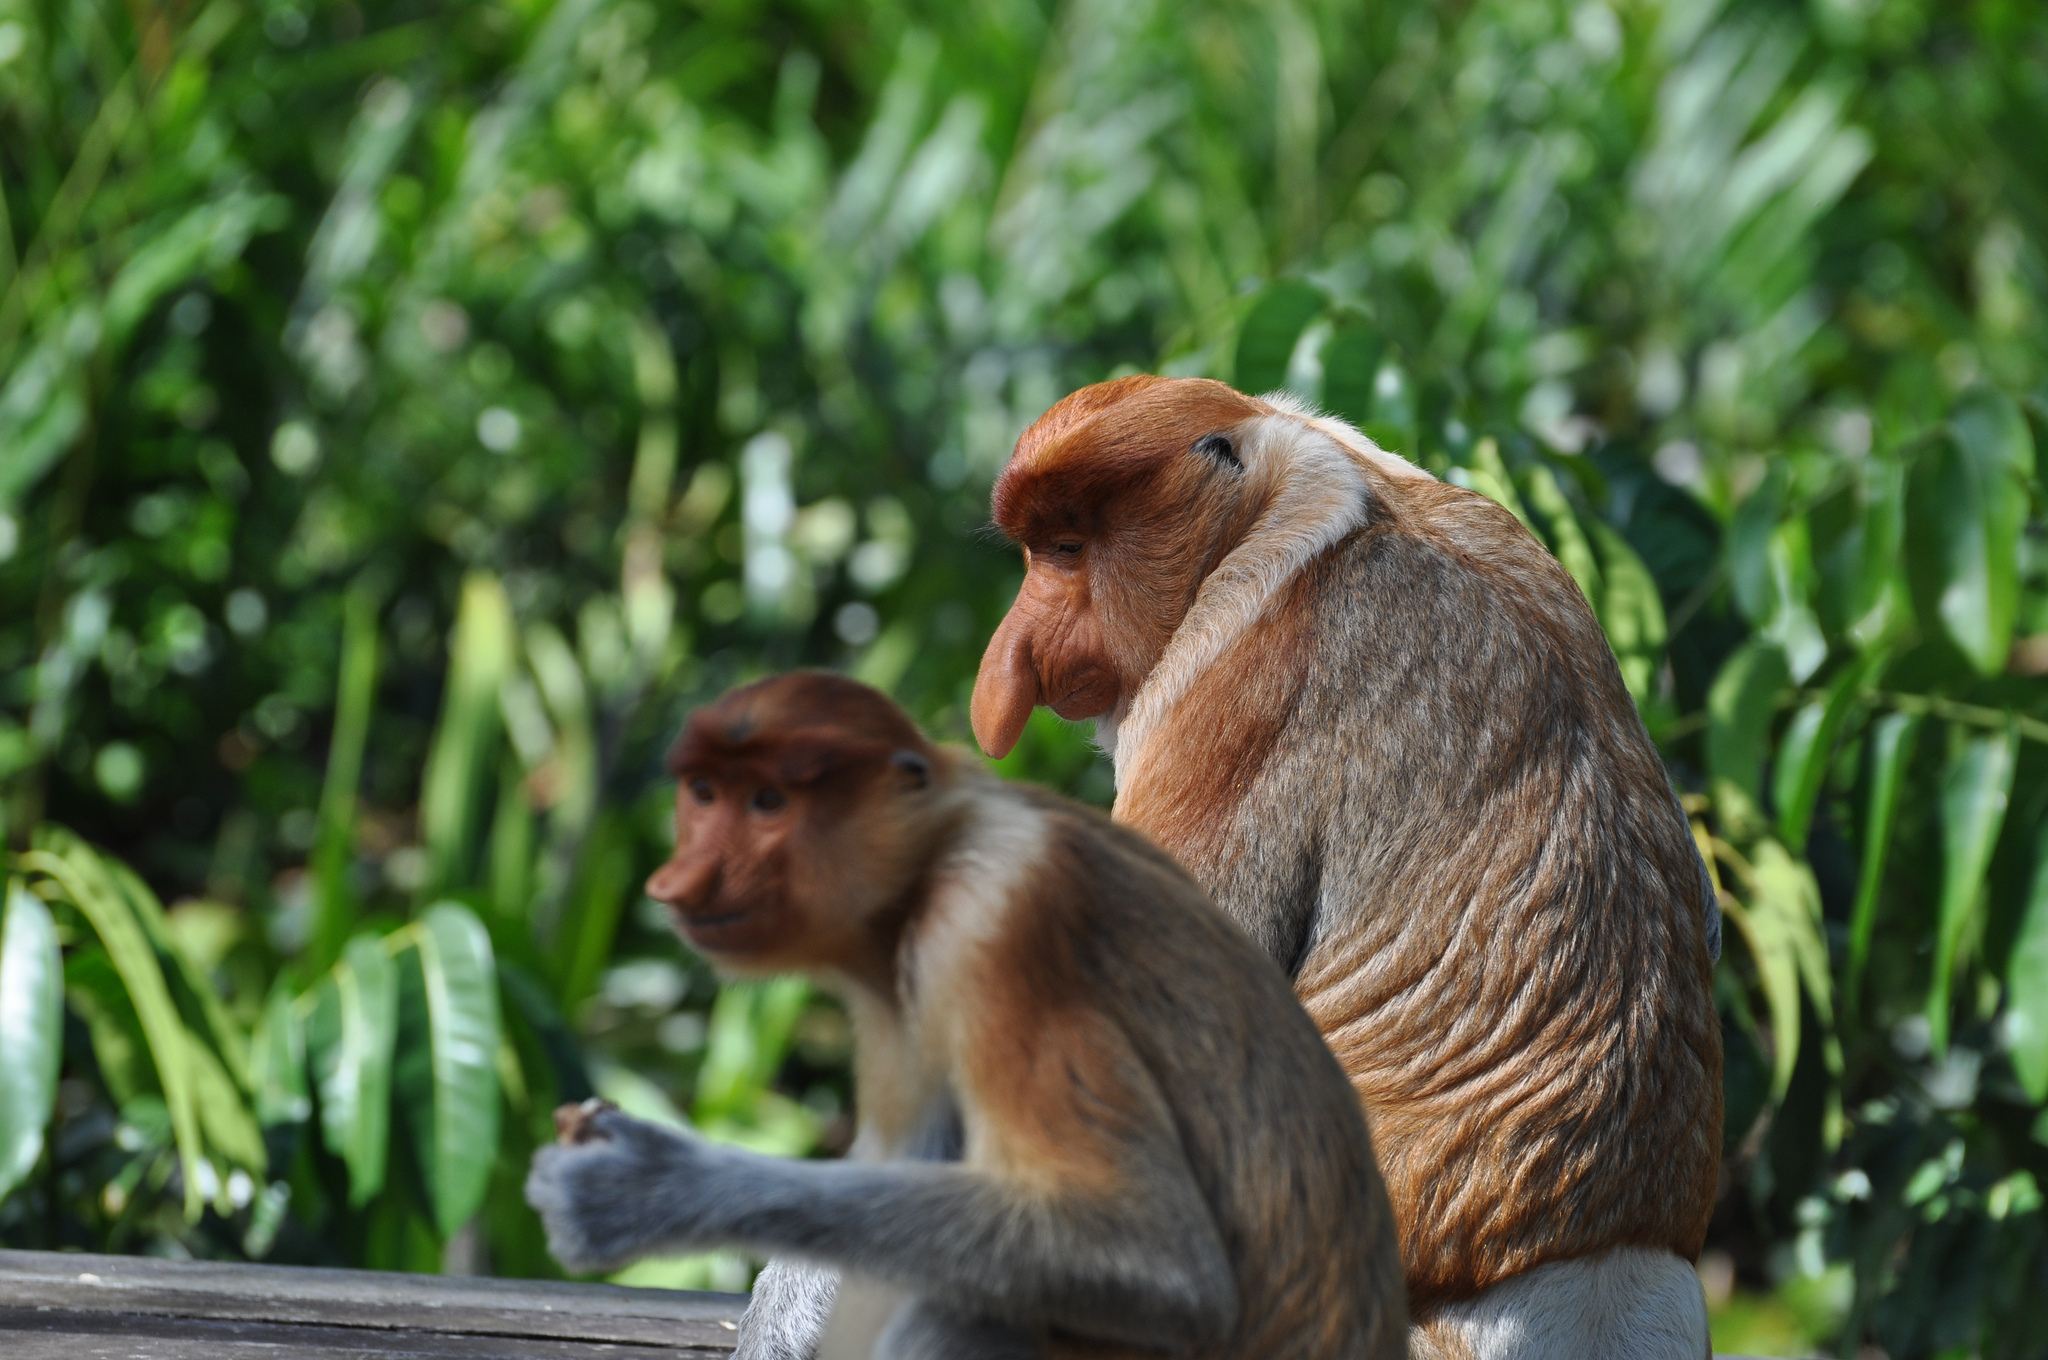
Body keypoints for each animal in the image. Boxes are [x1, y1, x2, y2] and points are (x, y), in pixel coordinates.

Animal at [524, 671, 1409, 1360]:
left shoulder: (990, 936)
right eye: (703, 798)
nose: (680, 880)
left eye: (767, 804)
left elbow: (1154, 1251)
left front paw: (639, 1187)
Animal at [966, 376, 1720, 1360]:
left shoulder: (1230, 687)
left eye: (1065, 549)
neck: (1297, 482)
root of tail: (1603, 1264)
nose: (1013, 657)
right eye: (1036, 552)